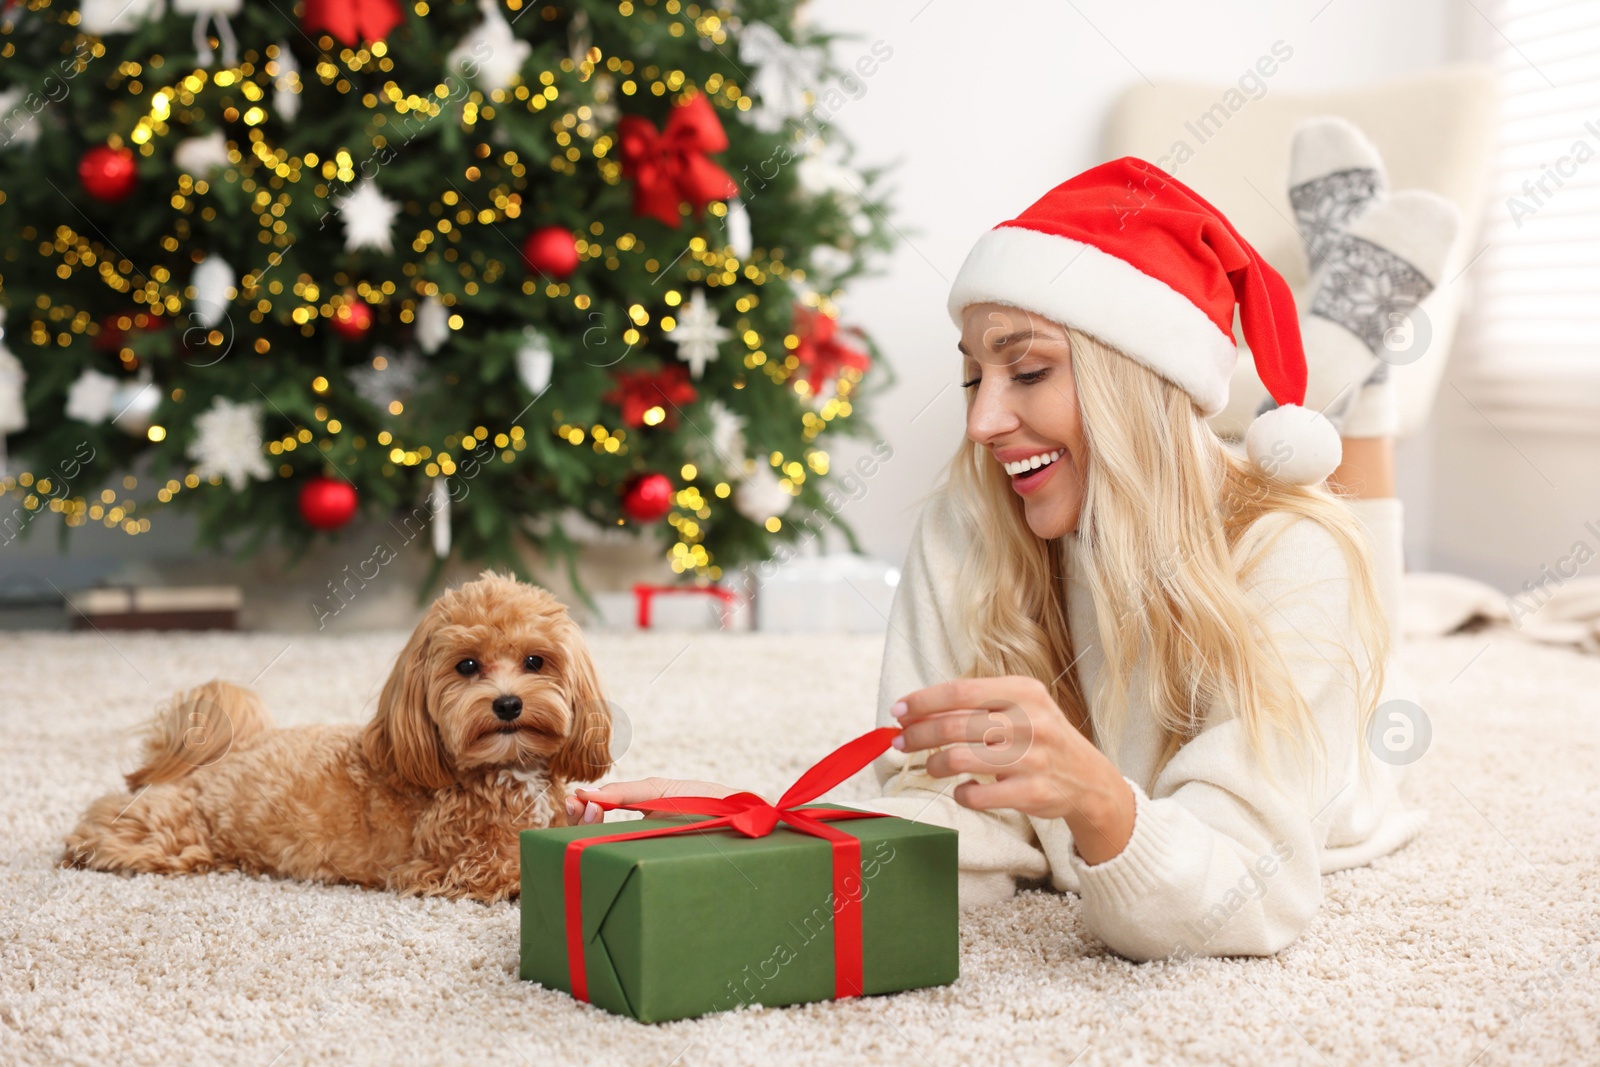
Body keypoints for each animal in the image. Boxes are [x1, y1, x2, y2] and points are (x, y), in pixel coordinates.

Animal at [62, 566, 604, 902]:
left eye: (535, 661)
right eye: (467, 666)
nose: (508, 704)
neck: (504, 770)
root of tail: (223, 753)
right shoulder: (451, 866)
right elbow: (510, 869)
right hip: (175, 832)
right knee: (116, 818)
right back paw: (84, 845)